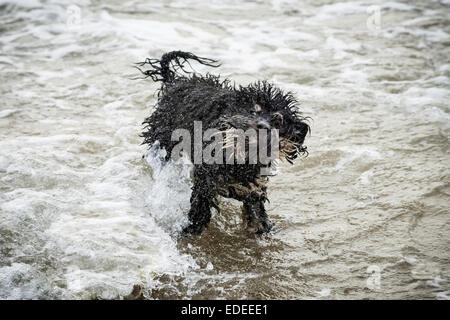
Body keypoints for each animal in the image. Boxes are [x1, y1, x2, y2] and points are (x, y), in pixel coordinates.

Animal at [137, 50, 312, 235]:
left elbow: (257, 216)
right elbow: (199, 213)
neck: (239, 159)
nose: (263, 126)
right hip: (164, 142)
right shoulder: (205, 182)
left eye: (278, 121)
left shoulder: (253, 188)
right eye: (253, 111)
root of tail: (173, 82)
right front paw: (189, 231)